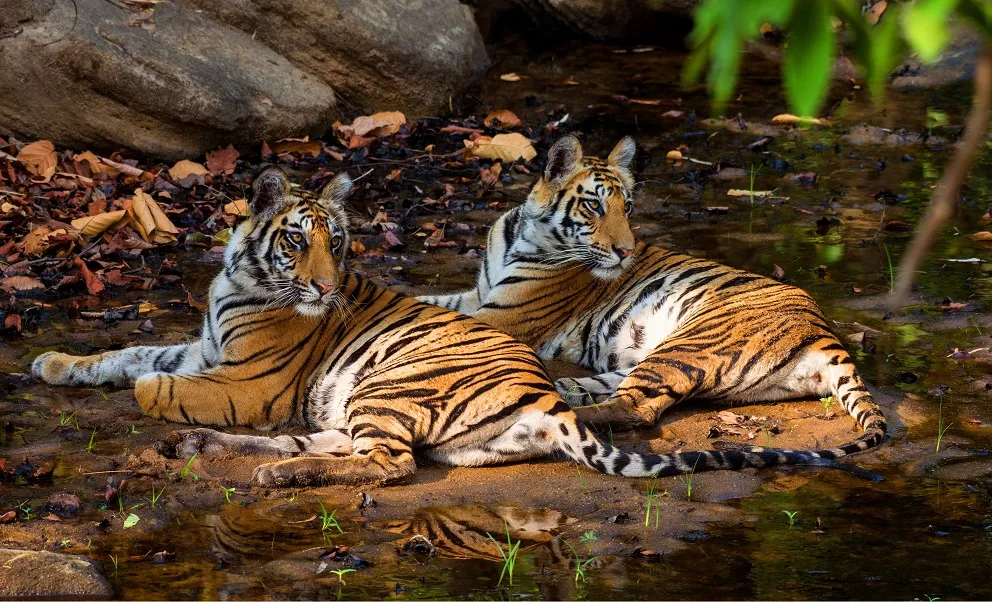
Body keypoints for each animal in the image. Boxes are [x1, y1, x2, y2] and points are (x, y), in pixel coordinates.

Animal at [31, 166, 849, 487]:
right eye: (300, 241)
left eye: (340, 243)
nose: (324, 287)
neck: (238, 279)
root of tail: (542, 393)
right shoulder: (203, 343)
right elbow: (129, 351)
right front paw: (55, 363)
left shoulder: (247, 382)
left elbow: (157, 380)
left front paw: (147, 392)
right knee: (339, 448)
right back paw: (230, 455)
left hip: (387, 387)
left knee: (385, 464)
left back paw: (266, 470)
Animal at [418, 135, 887, 468]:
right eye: (594, 206)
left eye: (627, 208)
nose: (626, 251)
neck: (523, 231)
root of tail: (826, 332)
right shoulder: (477, 294)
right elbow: (425, 300)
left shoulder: (503, 314)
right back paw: (563, 390)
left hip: (689, 342)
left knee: (634, 409)